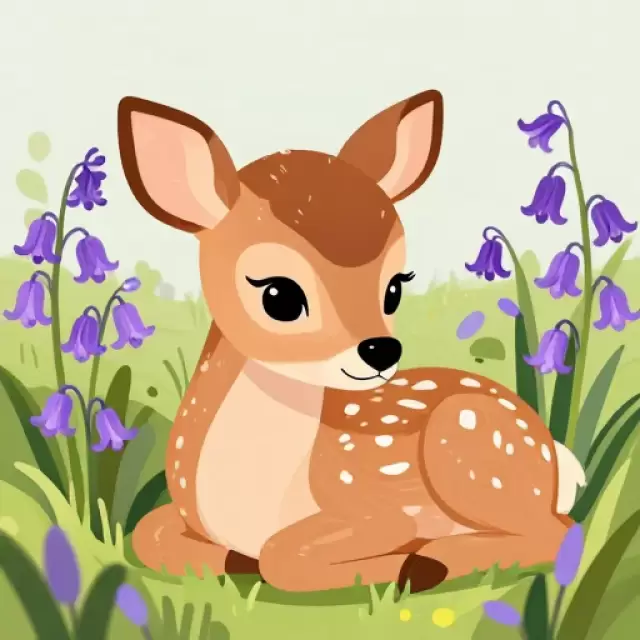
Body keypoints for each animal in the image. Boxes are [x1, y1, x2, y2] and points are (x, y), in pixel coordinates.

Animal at [117, 89, 587, 594]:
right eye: (279, 295)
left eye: (394, 287)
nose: (381, 350)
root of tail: (553, 454)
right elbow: (147, 533)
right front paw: (228, 560)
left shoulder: (380, 513)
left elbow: (283, 555)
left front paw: (403, 564)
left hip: (470, 445)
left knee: (561, 532)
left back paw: (436, 560)